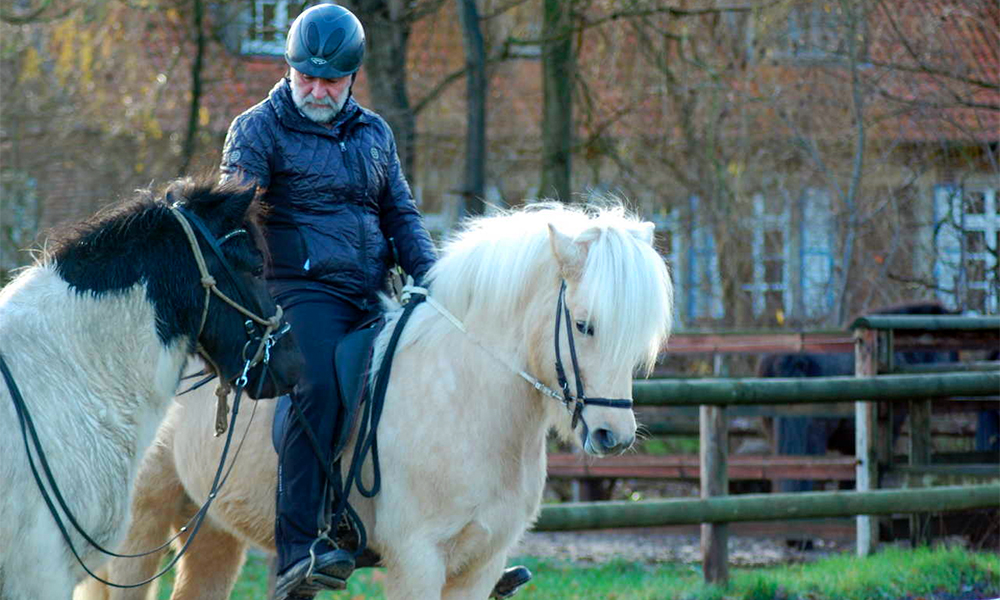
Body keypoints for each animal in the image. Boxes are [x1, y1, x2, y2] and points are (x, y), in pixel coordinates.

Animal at [80, 203, 672, 600]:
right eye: (584, 325)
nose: (612, 436)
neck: (466, 401)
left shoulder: (480, 566)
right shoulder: (417, 561)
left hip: (211, 529)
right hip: (141, 525)